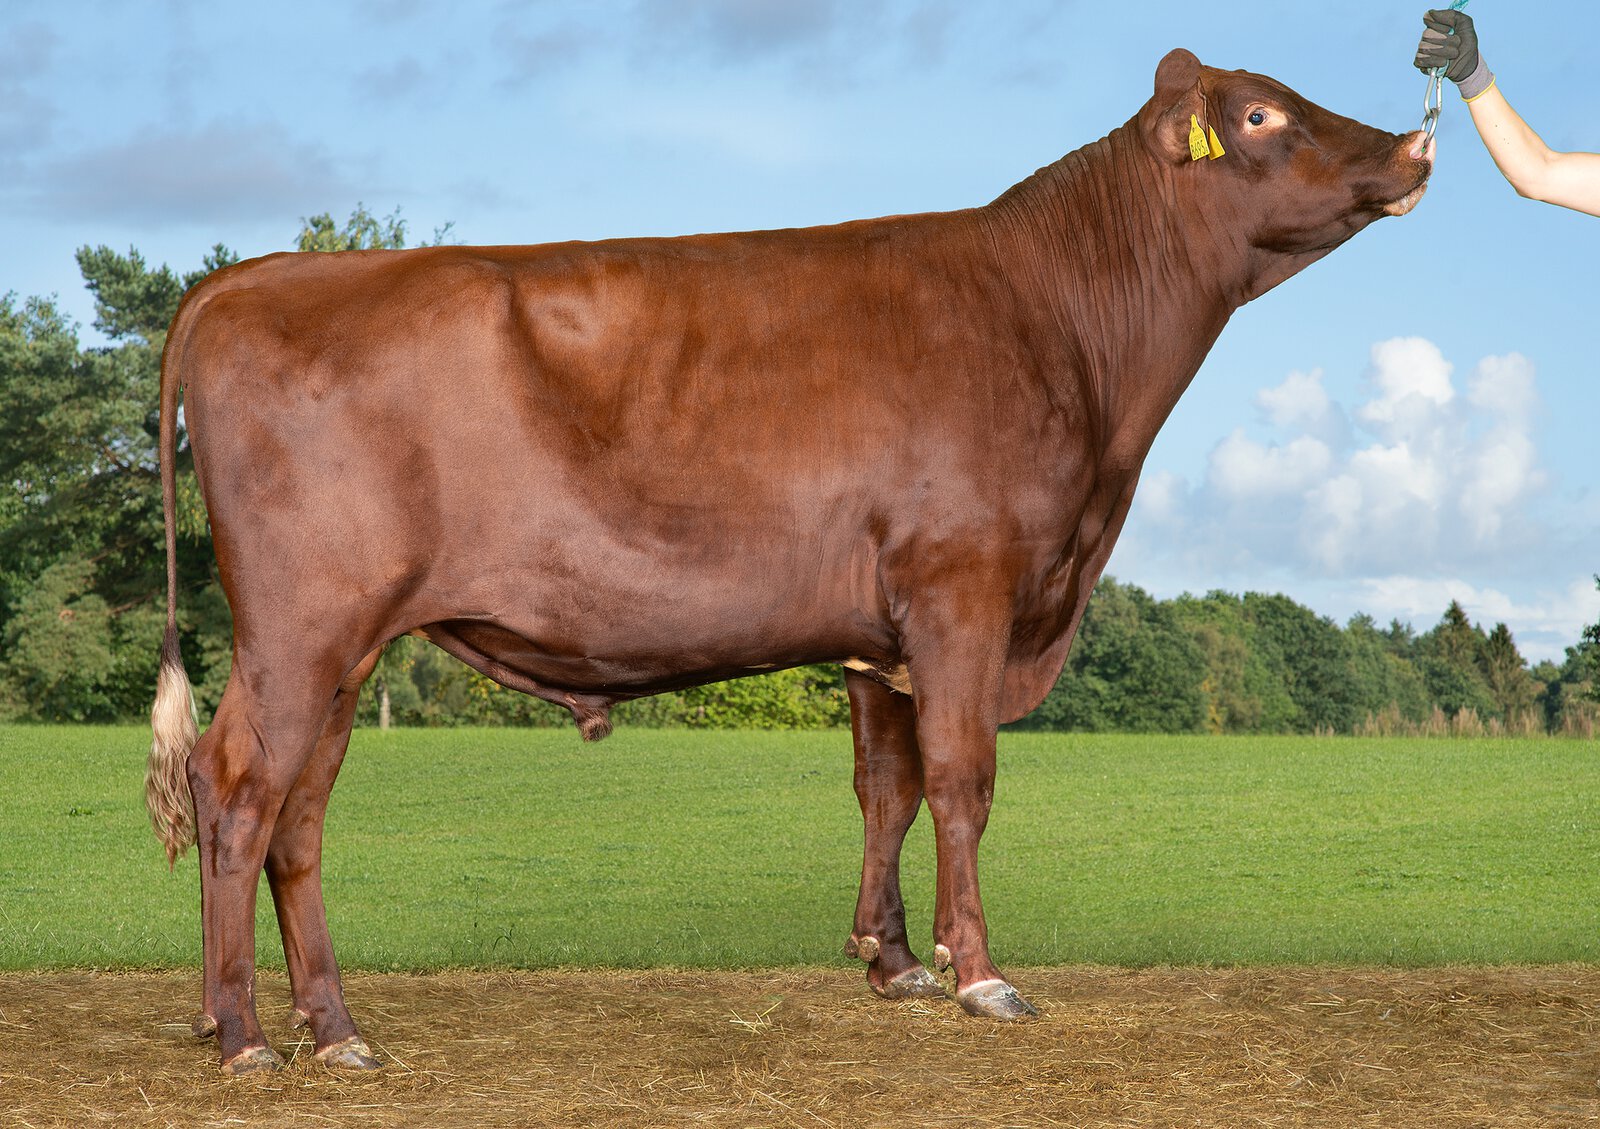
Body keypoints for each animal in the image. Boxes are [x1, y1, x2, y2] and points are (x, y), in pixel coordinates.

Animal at [146, 48, 1433, 1073]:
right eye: (1260, 115)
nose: (1415, 143)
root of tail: (249, 276)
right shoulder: (963, 587)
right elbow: (962, 778)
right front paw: (979, 973)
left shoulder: (879, 629)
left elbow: (887, 785)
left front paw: (892, 960)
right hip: (303, 629)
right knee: (239, 787)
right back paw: (245, 1034)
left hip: (346, 649)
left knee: (300, 815)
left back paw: (329, 1028)